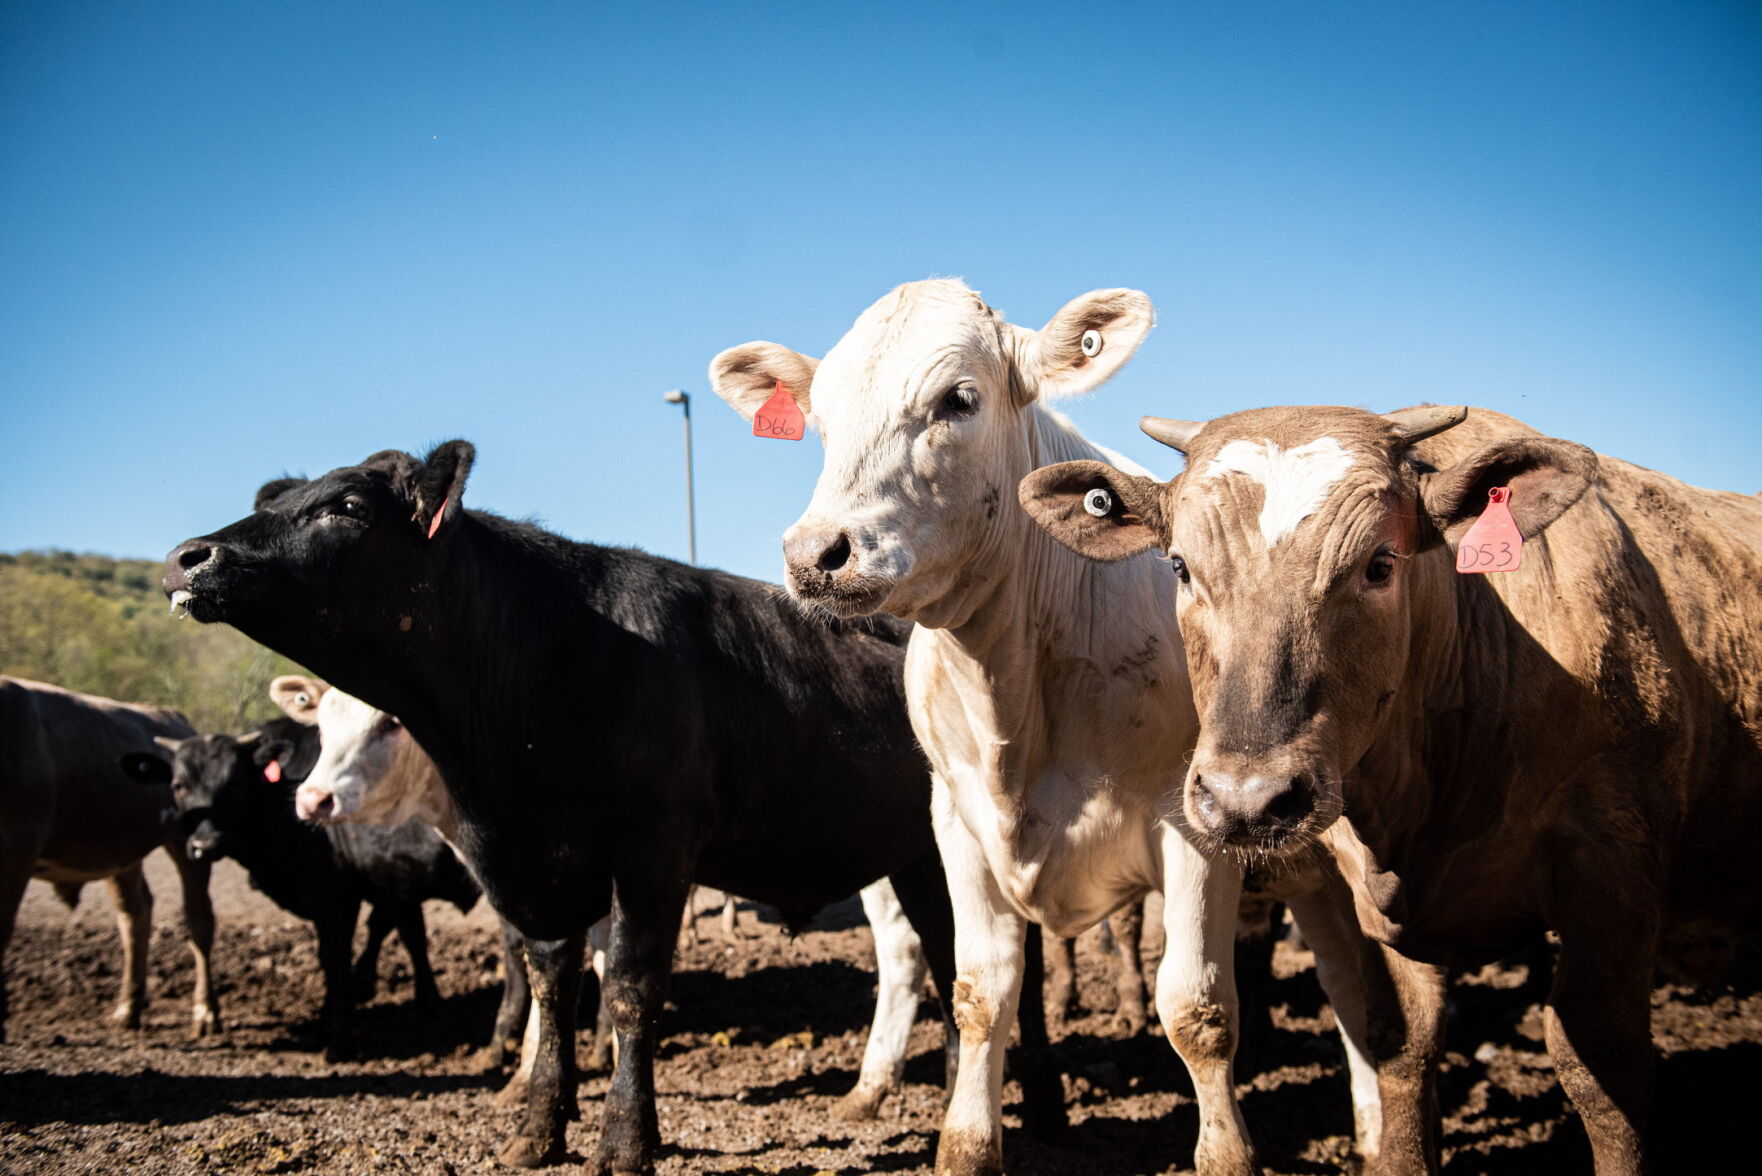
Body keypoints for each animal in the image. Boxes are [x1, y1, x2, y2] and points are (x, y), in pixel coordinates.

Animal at [0, 677, 218, 1043]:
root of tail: (172, 717)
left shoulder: (19, 845)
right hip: (122, 852)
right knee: (135, 913)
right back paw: (128, 1008)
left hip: (190, 844)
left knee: (198, 920)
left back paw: (205, 1012)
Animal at [704, 285, 1430, 1176]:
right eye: (822, 417)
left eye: (958, 399)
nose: (816, 553)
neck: (1016, 699)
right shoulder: (955, 826)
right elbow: (981, 993)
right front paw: (967, 1145)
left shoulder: (1195, 823)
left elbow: (1197, 1007)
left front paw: (1226, 1153)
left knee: (1352, 988)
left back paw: (1373, 1129)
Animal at [1021, 400, 1762, 1170]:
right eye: (1179, 566)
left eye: (1380, 564)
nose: (1246, 800)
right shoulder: (1371, 896)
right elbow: (1399, 1046)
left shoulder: (1611, 871)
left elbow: (1603, 1070)